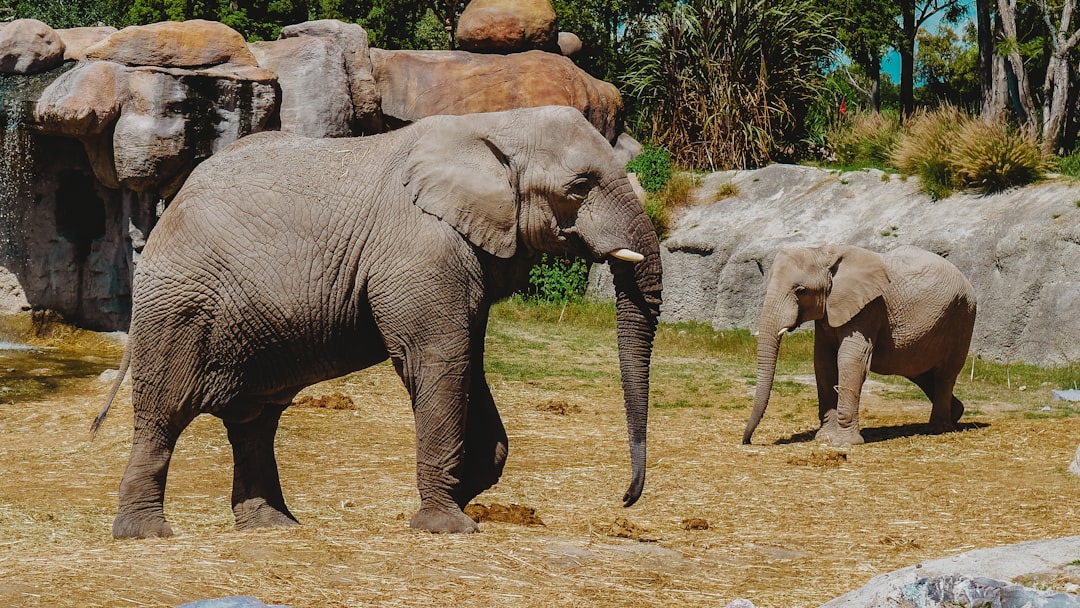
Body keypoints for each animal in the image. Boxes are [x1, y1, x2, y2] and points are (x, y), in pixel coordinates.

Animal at [95, 104, 665, 537]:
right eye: (579, 186)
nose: (626, 498)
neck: (494, 124)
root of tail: (166, 214)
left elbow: (467, 365)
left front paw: (461, 496)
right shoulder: (420, 248)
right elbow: (438, 360)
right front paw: (447, 525)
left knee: (254, 422)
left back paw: (273, 527)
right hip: (176, 308)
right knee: (164, 416)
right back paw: (147, 534)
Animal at [743, 244, 980, 447]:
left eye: (800, 290)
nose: (747, 441)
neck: (823, 251)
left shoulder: (869, 307)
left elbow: (850, 360)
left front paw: (844, 443)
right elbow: (823, 362)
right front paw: (824, 438)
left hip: (962, 315)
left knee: (944, 374)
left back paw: (937, 428)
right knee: (917, 371)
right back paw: (956, 413)